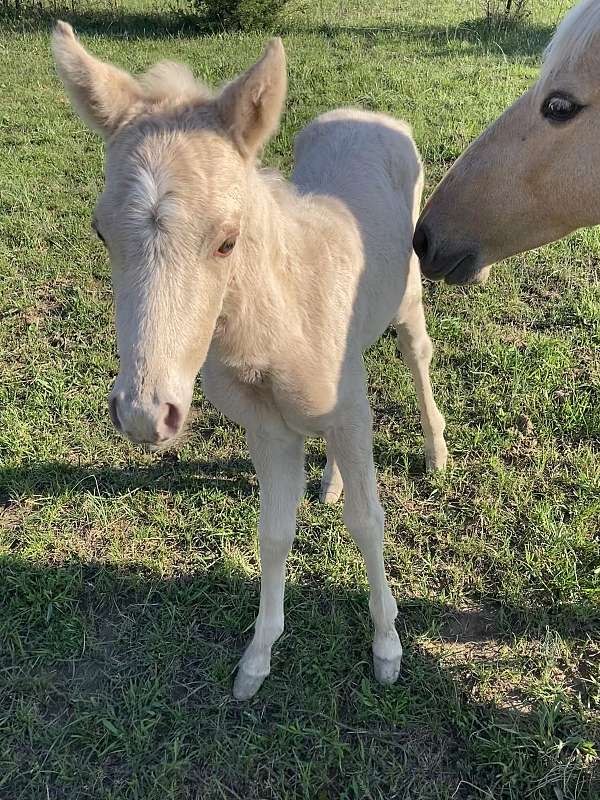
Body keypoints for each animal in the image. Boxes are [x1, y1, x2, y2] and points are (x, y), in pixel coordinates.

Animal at [52, 22, 447, 699]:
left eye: (226, 240)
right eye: (102, 232)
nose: (145, 414)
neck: (279, 327)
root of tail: (370, 115)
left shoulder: (350, 415)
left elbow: (370, 521)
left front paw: (388, 649)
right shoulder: (268, 429)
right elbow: (274, 532)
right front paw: (256, 660)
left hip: (409, 292)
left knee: (414, 351)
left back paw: (435, 452)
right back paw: (329, 482)